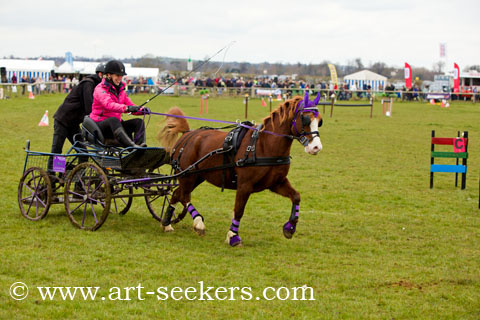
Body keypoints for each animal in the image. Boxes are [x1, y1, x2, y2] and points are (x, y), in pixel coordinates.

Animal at [159, 91, 324, 246]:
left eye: (320, 121)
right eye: (305, 119)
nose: (316, 147)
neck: (264, 145)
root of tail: (188, 134)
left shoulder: (276, 183)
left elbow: (296, 196)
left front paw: (290, 227)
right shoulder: (244, 185)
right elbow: (239, 210)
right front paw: (233, 236)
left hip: (196, 176)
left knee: (177, 194)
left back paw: (167, 223)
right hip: (188, 176)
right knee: (184, 196)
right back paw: (198, 223)